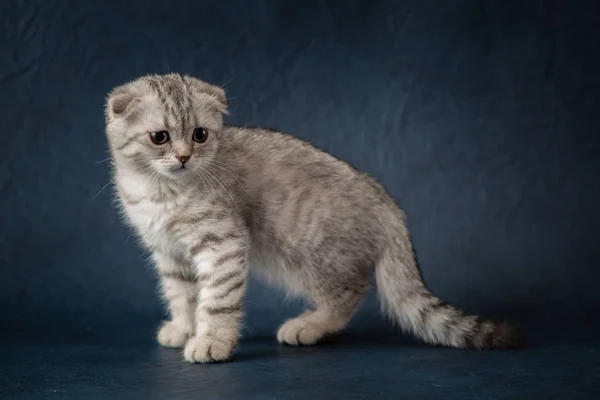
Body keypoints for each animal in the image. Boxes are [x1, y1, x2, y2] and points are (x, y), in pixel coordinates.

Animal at [105, 73, 524, 364]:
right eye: (160, 137)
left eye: (200, 134)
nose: (184, 157)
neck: (159, 192)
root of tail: (388, 203)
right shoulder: (169, 253)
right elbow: (181, 295)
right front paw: (183, 327)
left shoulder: (223, 244)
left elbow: (217, 300)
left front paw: (212, 341)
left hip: (307, 255)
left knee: (350, 292)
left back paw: (310, 325)